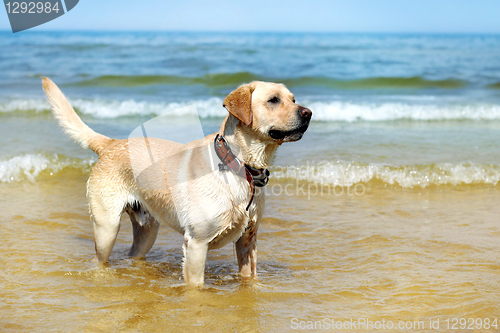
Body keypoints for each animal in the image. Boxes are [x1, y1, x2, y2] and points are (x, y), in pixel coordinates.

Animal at [43, 76, 310, 284]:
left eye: (293, 99)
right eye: (273, 100)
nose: (308, 113)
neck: (239, 166)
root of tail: (111, 143)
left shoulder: (248, 240)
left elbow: (249, 279)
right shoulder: (197, 245)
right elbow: (196, 288)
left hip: (147, 230)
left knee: (133, 254)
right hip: (106, 228)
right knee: (98, 259)